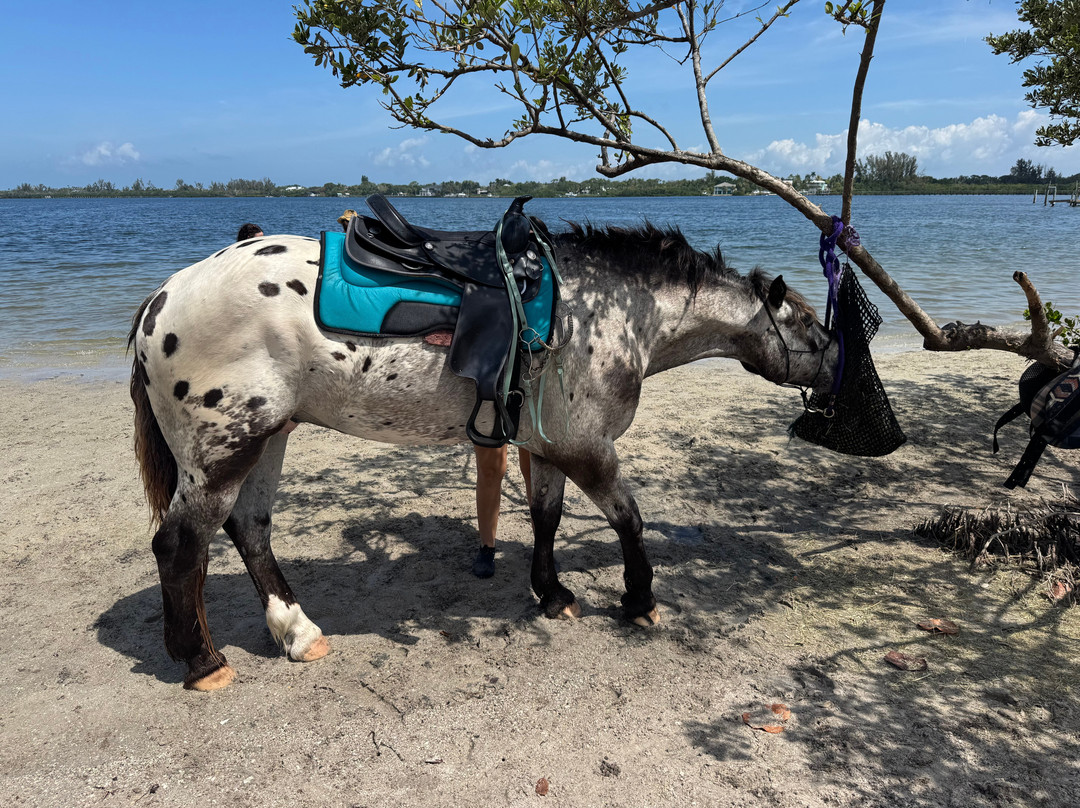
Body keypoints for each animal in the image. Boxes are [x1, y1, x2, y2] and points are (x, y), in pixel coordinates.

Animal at [129, 219, 838, 690]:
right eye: (807, 324)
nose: (839, 369)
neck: (605, 310)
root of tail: (167, 293)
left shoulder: (550, 447)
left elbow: (547, 518)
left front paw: (552, 594)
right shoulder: (589, 448)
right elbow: (628, 519)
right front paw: (639, 600)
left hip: (268, 436)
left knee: (250, 530)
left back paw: (298, 634)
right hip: (224, 451)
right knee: (181, 544)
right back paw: (202, 662)